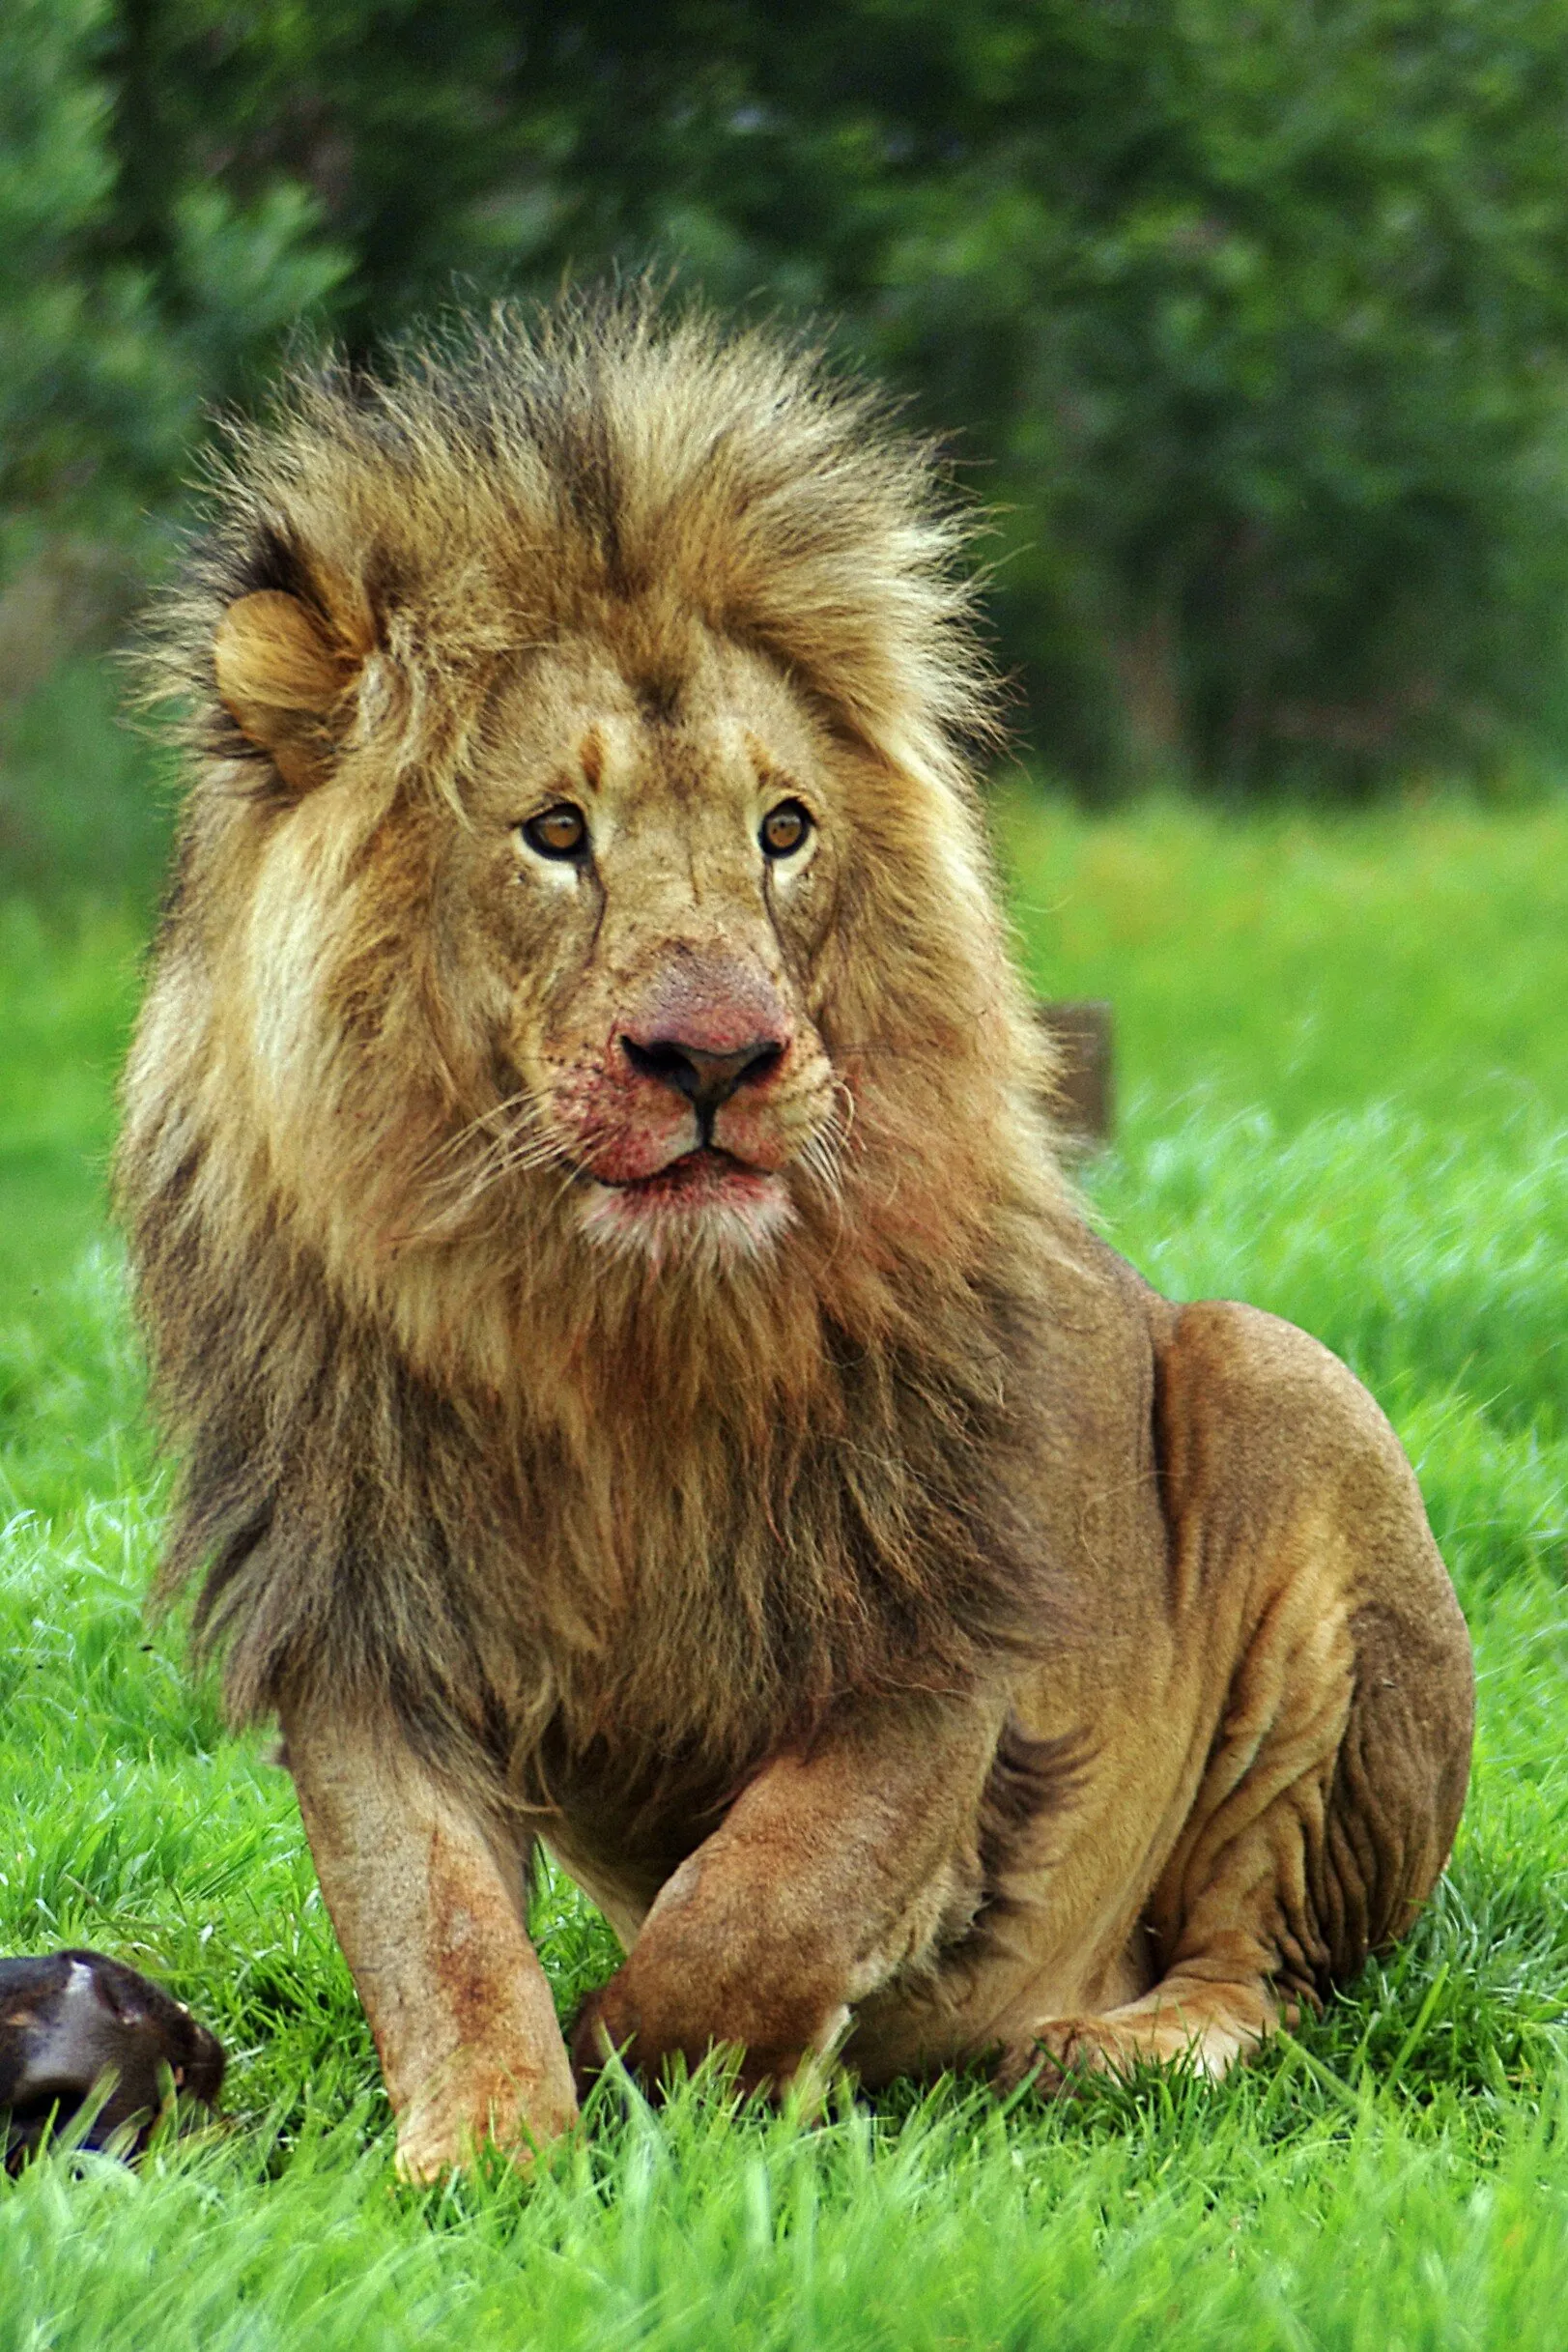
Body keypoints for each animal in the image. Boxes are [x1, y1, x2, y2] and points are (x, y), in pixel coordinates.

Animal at [118, 295, 1474, 2179]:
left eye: (783, 830)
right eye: (554, 832)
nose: (715, 1056)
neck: (605, 1336)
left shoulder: (932, 1622)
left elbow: (768, 1895)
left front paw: (667, 2070)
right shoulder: (367, 1602)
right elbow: (431, 1913)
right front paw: (483, 2156)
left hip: (1280, 1384)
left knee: (1261, 1963)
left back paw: (1104, 2043)